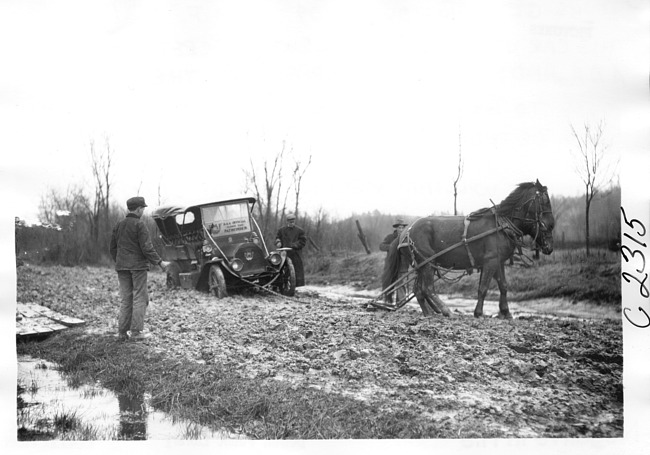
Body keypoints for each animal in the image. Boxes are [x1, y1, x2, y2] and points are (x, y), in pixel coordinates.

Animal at [382, 180, 556, 318]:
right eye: (545, 201)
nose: (551, 226)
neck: (501, 225)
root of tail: (405, 231)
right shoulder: (490, 262)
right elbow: (483, 288)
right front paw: (478, 313)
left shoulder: (498, 262)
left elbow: (503, 286)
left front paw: (505, 312)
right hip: (426, 263)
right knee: (428, 288)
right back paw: (445, 310)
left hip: (422, 265)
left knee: (418, 290)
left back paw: (429, 312)